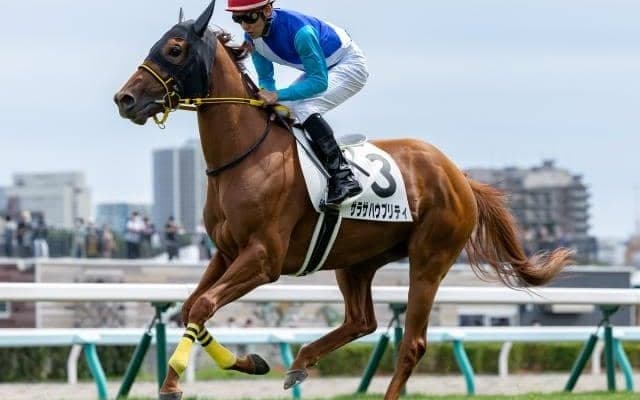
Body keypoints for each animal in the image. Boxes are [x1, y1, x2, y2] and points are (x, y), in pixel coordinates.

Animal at [114, 2, 572, 399]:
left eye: (174, 49)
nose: (125, 99)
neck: (246, 156)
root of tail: (460, 176)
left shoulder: (263, 257)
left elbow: (204, 304)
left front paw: (176, 381)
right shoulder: (226, 252)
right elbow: (192, 306)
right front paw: (245, 363)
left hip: (430, 259)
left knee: (412, 342)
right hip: (356, 260)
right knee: (360, 320)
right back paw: (300, 362)